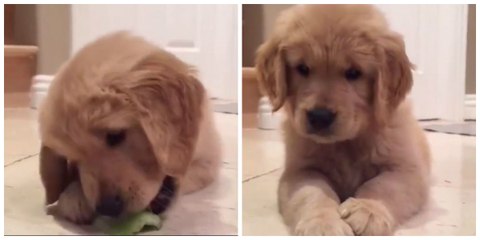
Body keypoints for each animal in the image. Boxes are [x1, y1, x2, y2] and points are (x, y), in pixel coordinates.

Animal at [256, 4, 434, 235]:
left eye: (353, 72)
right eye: (303, 68)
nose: (319, 117)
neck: (346, 143)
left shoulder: (406, 170)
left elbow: (382, 186)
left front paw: (368, 210)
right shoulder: (300, 171)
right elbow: (313, 193)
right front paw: (322, 222)